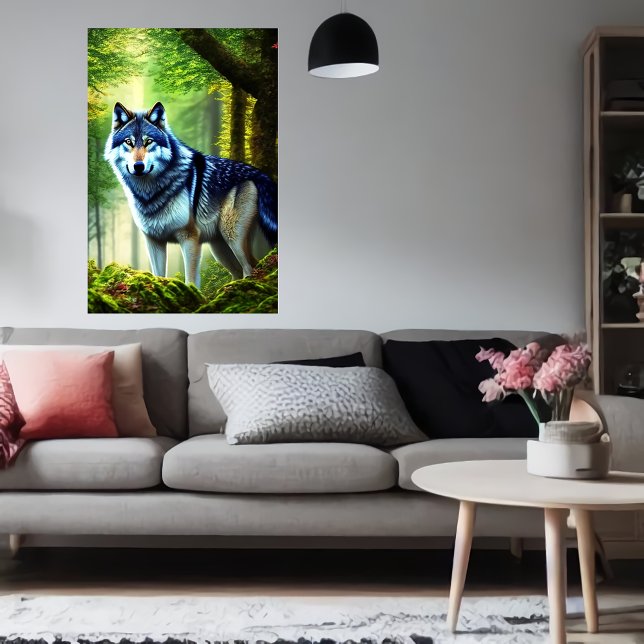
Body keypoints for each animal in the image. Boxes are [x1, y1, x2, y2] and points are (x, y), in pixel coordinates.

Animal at [104, 101, 277, 287]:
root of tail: (258, 173)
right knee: (242, 269)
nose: (138, 166)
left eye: (148, 141)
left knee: (250, 267)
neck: (150, 194)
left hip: (232, 238)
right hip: (219, 248)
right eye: (128, 142)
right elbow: (159, 276)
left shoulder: (189, 238)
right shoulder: (154, 241)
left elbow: (191, 280)